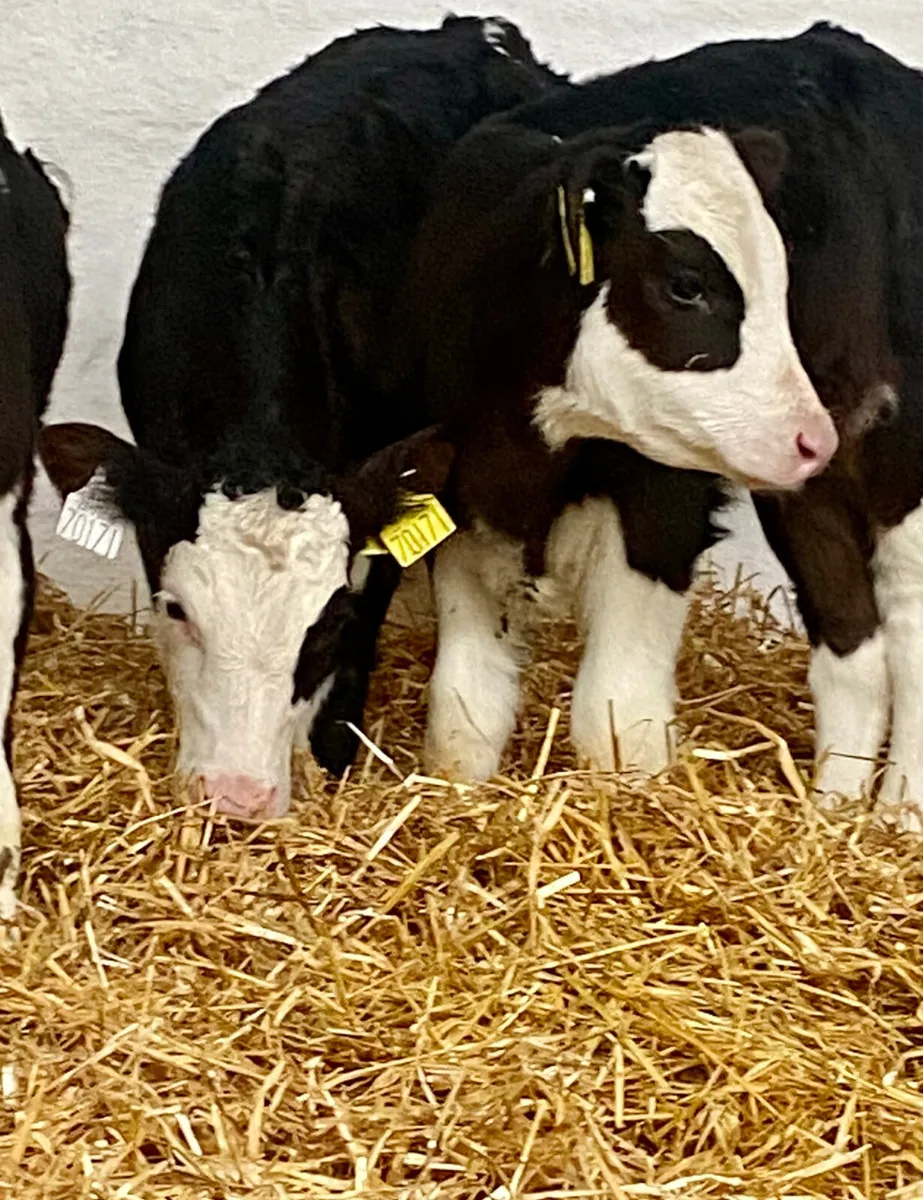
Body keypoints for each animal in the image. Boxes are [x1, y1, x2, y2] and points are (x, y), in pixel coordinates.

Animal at [387, 37, 861, 789]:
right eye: (686, 285)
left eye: (781, 279)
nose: (814, 439)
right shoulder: (457, 498)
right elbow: (465, 699)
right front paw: (456, 783)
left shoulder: (660, 511)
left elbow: (615, 712)